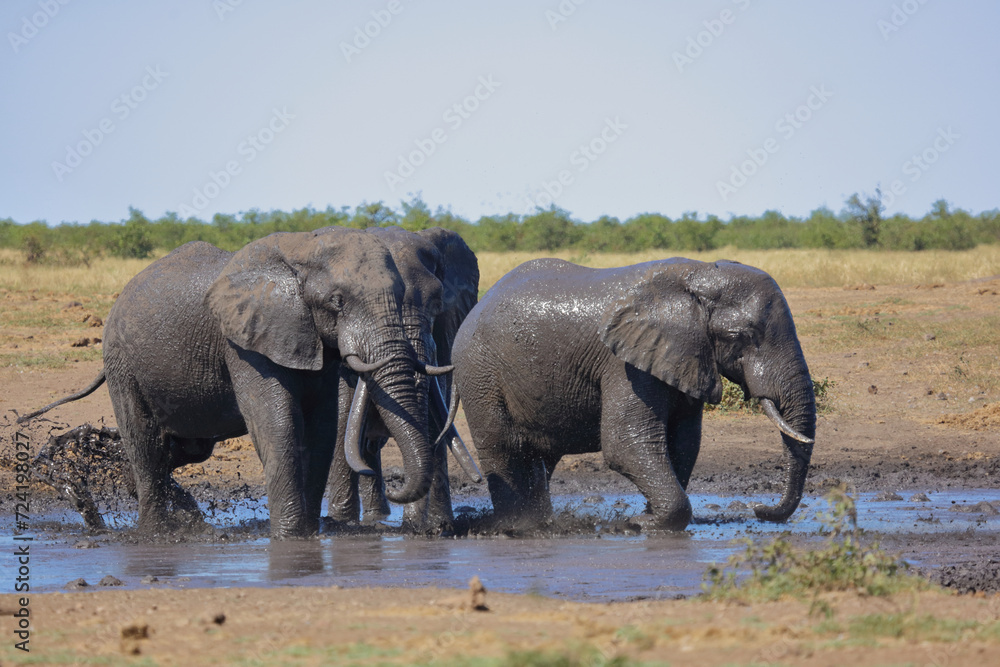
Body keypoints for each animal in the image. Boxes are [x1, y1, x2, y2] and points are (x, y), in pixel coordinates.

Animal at [19, 228, 442, 539]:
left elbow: (321, 429)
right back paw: (154, 534)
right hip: (122, 362)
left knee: (183, 449)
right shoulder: (242, 342)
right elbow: (278, 424)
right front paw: (288, 538)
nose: (394, 483)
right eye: (338, 301)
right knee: (144, 444)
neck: (302, 248)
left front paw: (307, 535)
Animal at [326, 226, 481, 533]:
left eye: (436, 302)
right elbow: (342, 417)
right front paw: (341, 524)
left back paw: (380, 516)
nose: (479, 479)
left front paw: (431, 528)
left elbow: (433, 416)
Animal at [451, 257, 816, 531]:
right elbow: (624, 443)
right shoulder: (624, 364)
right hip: (479, 374)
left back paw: (542, 522)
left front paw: (647, 517)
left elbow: (684, 442)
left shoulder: (684, 357)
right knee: (502, 449)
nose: (759, 509)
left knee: (538, 459)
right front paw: (639, 524)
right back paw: (517, 526)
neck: (696, 277)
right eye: (743, 336)